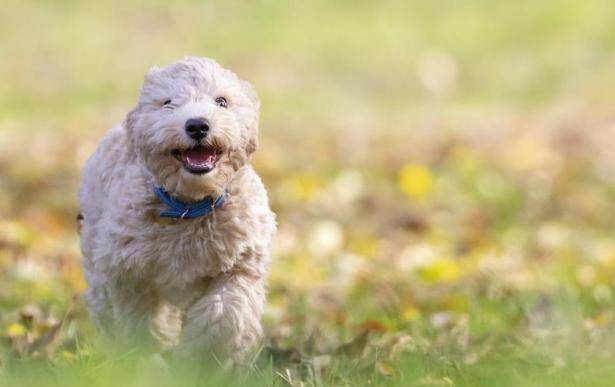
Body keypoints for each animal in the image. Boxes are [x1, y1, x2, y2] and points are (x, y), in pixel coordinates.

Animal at [79, 57, 276, 364]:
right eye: (167, 103)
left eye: (221, 101)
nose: (197, 125)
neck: (189, 207)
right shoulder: (128, 272)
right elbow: (140, 320)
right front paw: (148, 358)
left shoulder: (241, 263)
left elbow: (224, 313)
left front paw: (201, 360)